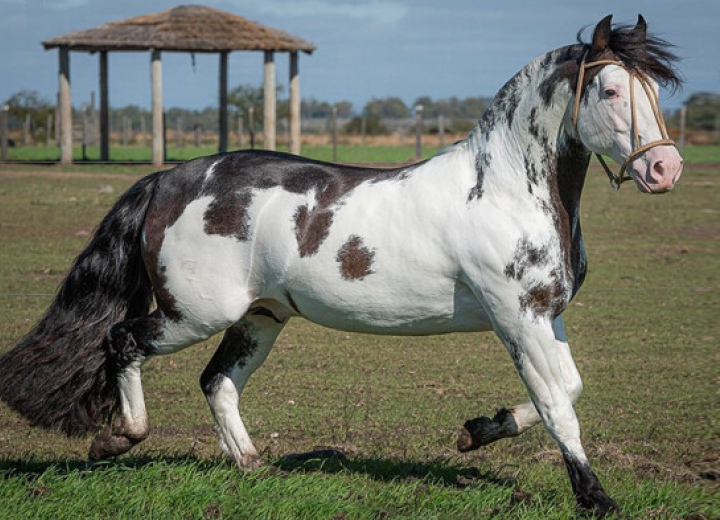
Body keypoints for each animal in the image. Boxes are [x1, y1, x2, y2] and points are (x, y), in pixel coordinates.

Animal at [0, 13, 680, 516]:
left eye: (655, 90)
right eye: (611, 90)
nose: (664, 168)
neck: (506, 189)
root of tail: (170, 178)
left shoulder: (545, 315)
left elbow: (567, 389)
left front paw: (478, 428)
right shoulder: (518, 319)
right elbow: (558, 405)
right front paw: (595, 499)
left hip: (260, 316)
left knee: (217, 382)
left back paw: (251, 466)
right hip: (193, 313)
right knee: (123, 342)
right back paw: (119, 438)